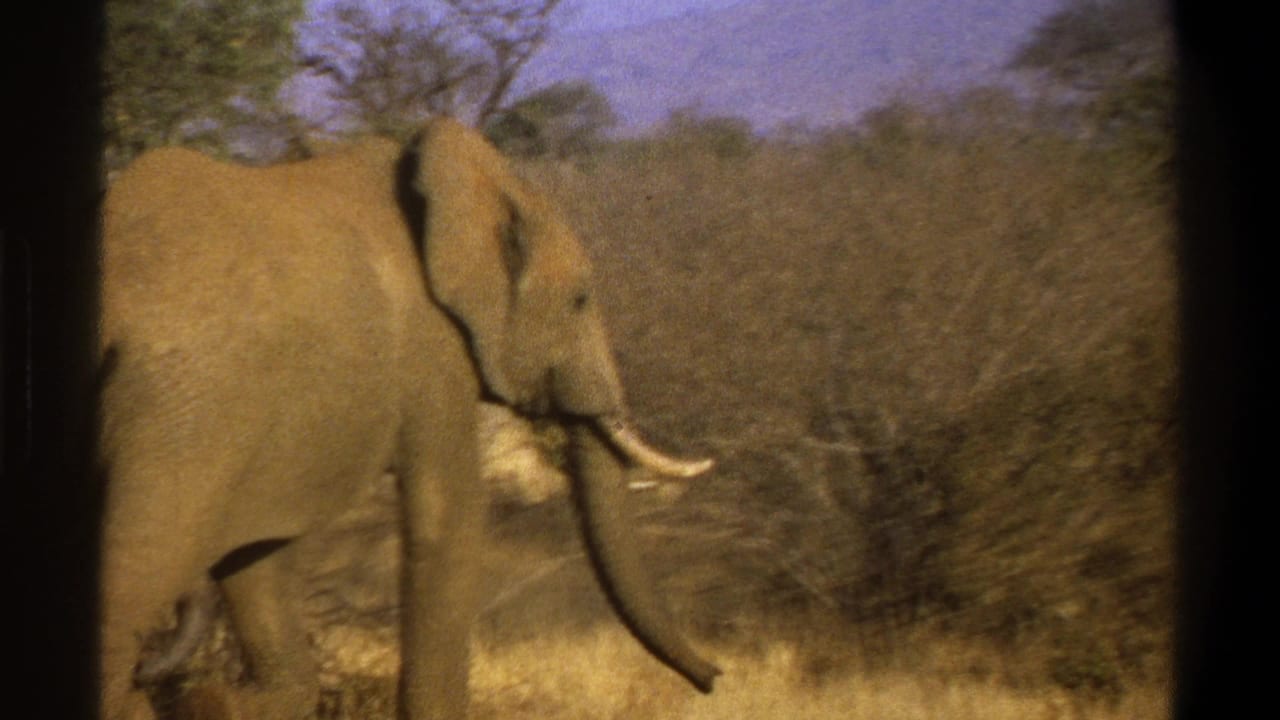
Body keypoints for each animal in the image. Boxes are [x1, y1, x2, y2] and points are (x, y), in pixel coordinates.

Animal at [97, 117, 720, 720]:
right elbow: (448, 519)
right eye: (581, 300)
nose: (712, 677)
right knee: (127, 590)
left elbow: (258, 556)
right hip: (182, 413)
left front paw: (220, 703)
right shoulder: (433, 354)